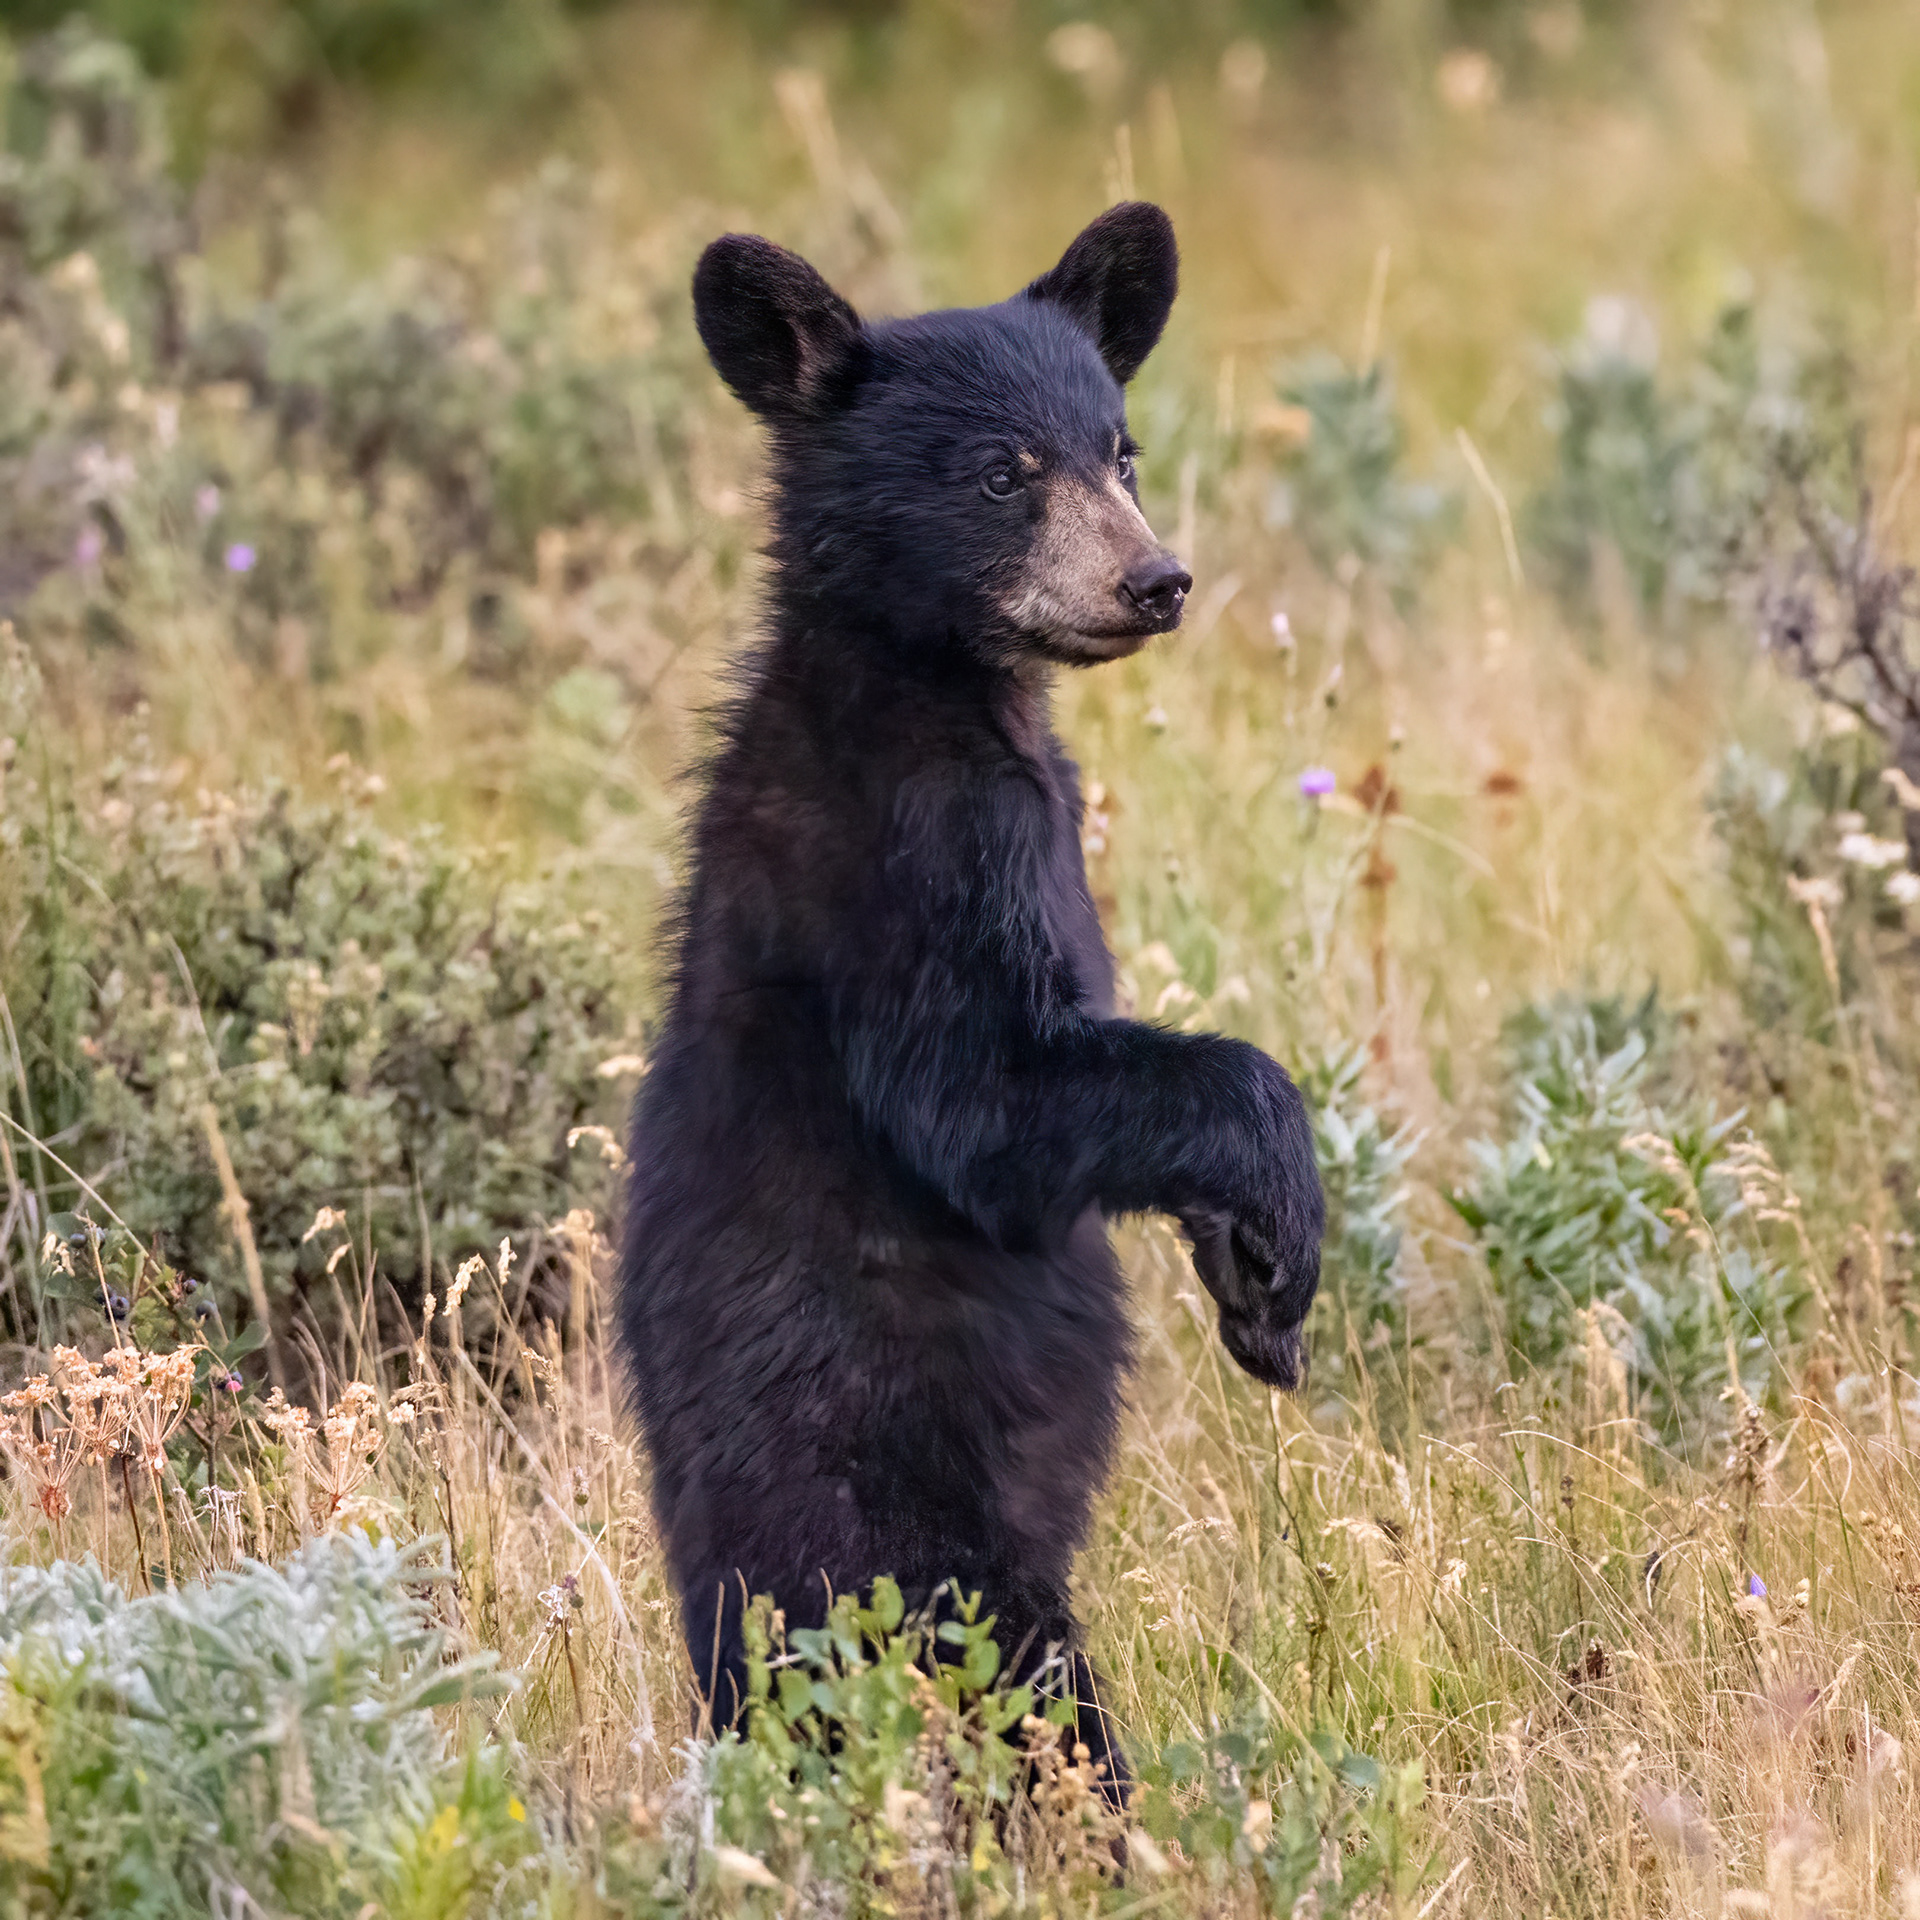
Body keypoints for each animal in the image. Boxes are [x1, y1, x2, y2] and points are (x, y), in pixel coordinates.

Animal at [621, 202, 1324, 1802]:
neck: (936, 683)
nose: (1157, 581)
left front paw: (1250, 1281)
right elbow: (989, 1102)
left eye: (1120, 448)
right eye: (1004, 471)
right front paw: (1286, 1238)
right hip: (902, 1524)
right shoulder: (922, 854)